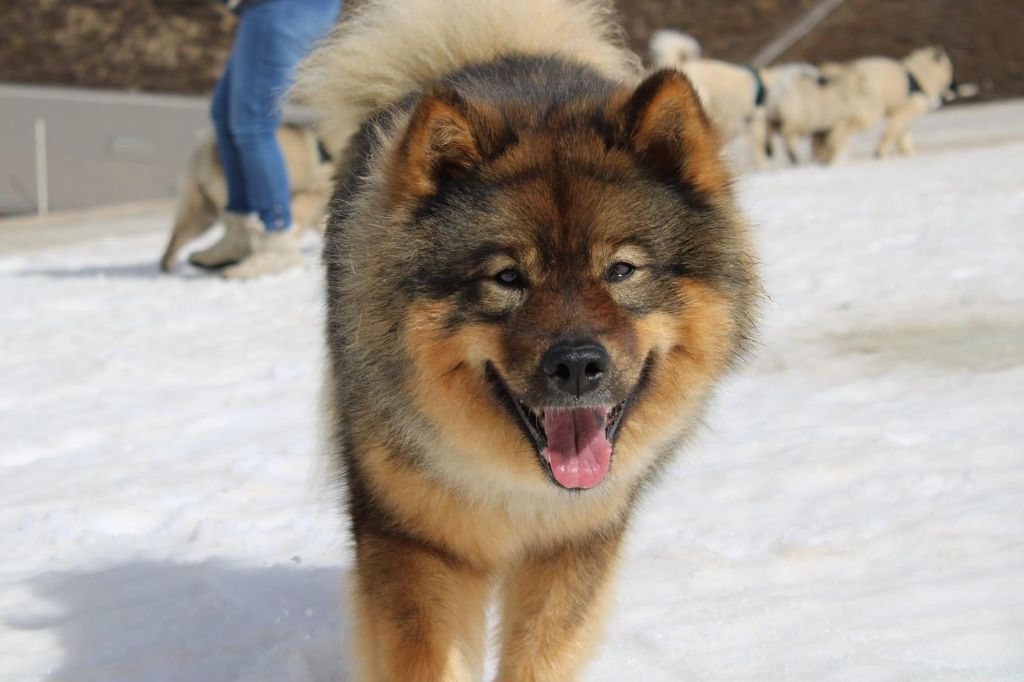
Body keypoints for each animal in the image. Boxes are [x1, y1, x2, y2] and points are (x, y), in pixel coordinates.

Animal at [296, 2, 761, 675]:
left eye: (621, 270)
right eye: (509, 277)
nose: (577, 365)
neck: (517, 489)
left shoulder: (576, 544)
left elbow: (541, 657)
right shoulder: (413, 542)